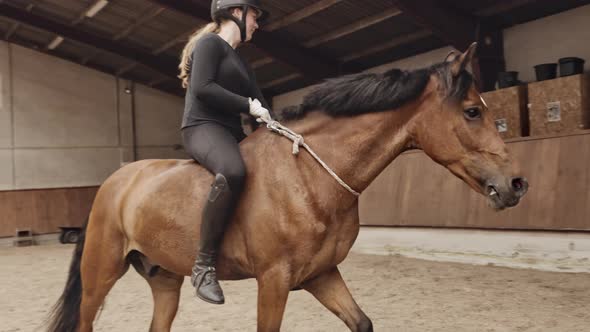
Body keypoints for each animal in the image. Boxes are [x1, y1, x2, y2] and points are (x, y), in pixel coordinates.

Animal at [47, 44, 528, 332]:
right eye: (472, 111)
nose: (517, 184)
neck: (309, 176)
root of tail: (114, 181)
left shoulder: (321, 274)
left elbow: (362, 323)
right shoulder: (274, 281)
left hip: (164, 279)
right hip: (100, 275)